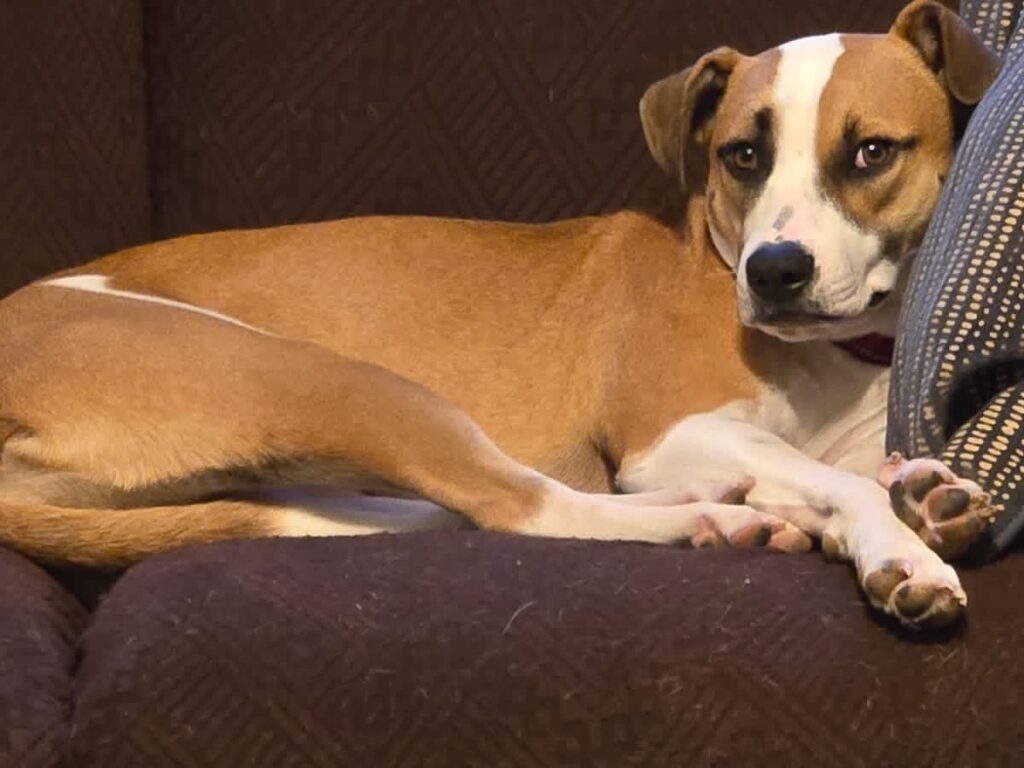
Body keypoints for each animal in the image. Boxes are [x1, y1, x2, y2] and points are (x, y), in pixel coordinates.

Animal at [0, 0, 1001, 628]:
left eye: (871, 153)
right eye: (742, 155)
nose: (776, 272)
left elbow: (844, 470)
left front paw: (917, 497)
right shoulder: (667, 436)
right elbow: (835, 482)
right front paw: (899, 552)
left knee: (404, 512)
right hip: (331, 378)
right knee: (524, 507)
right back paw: (707, 517)